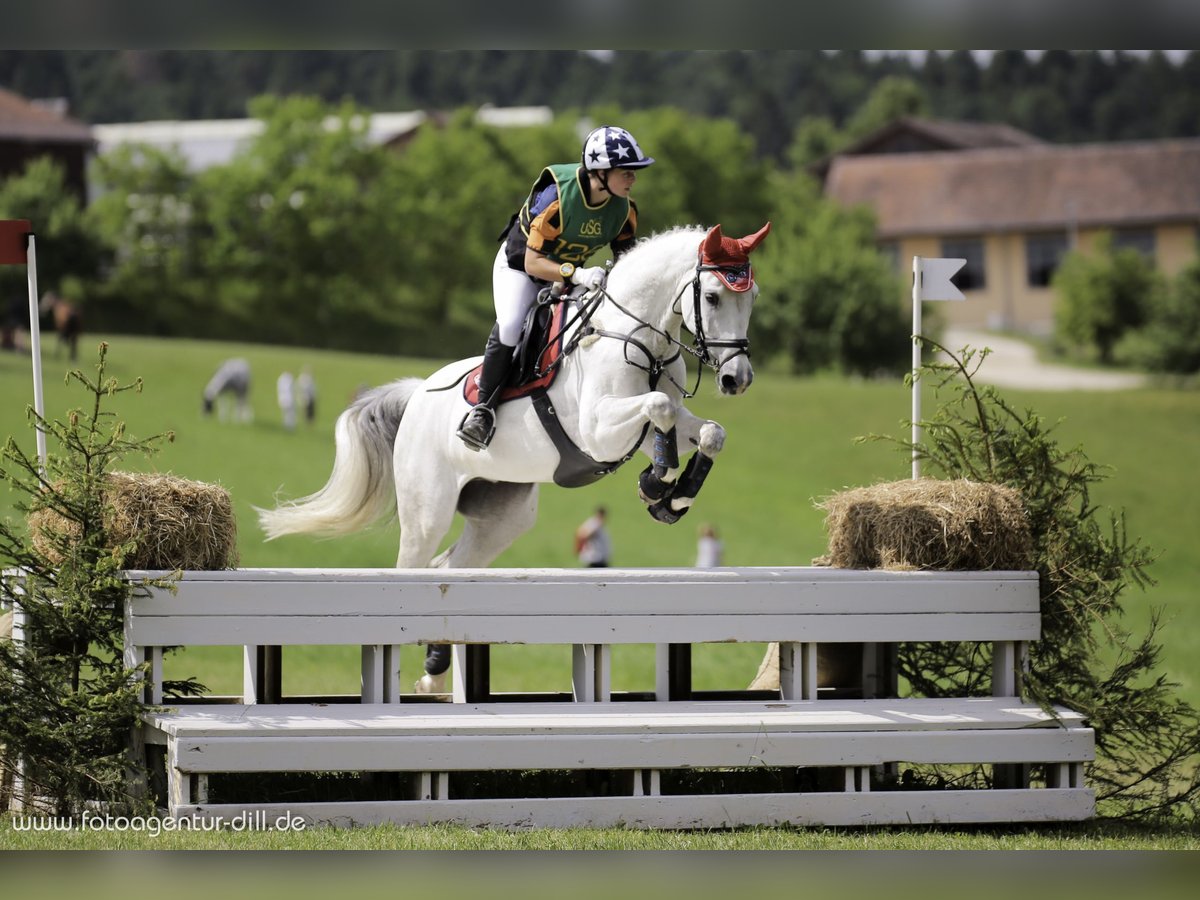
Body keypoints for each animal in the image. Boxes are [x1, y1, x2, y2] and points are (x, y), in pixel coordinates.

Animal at [258, 222, 772, 696]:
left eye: (751, 297)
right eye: (712, 297)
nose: (738, 379)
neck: (638, 337)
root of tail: (417, 394)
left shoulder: (645, 430)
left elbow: (708, 431)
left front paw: (672, 497)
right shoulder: (599, 431)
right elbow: (660, 407)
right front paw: (657, 484)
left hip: (503, 518)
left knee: (449, 570)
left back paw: (434, 675)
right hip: (427, 511)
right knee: (413, 571)